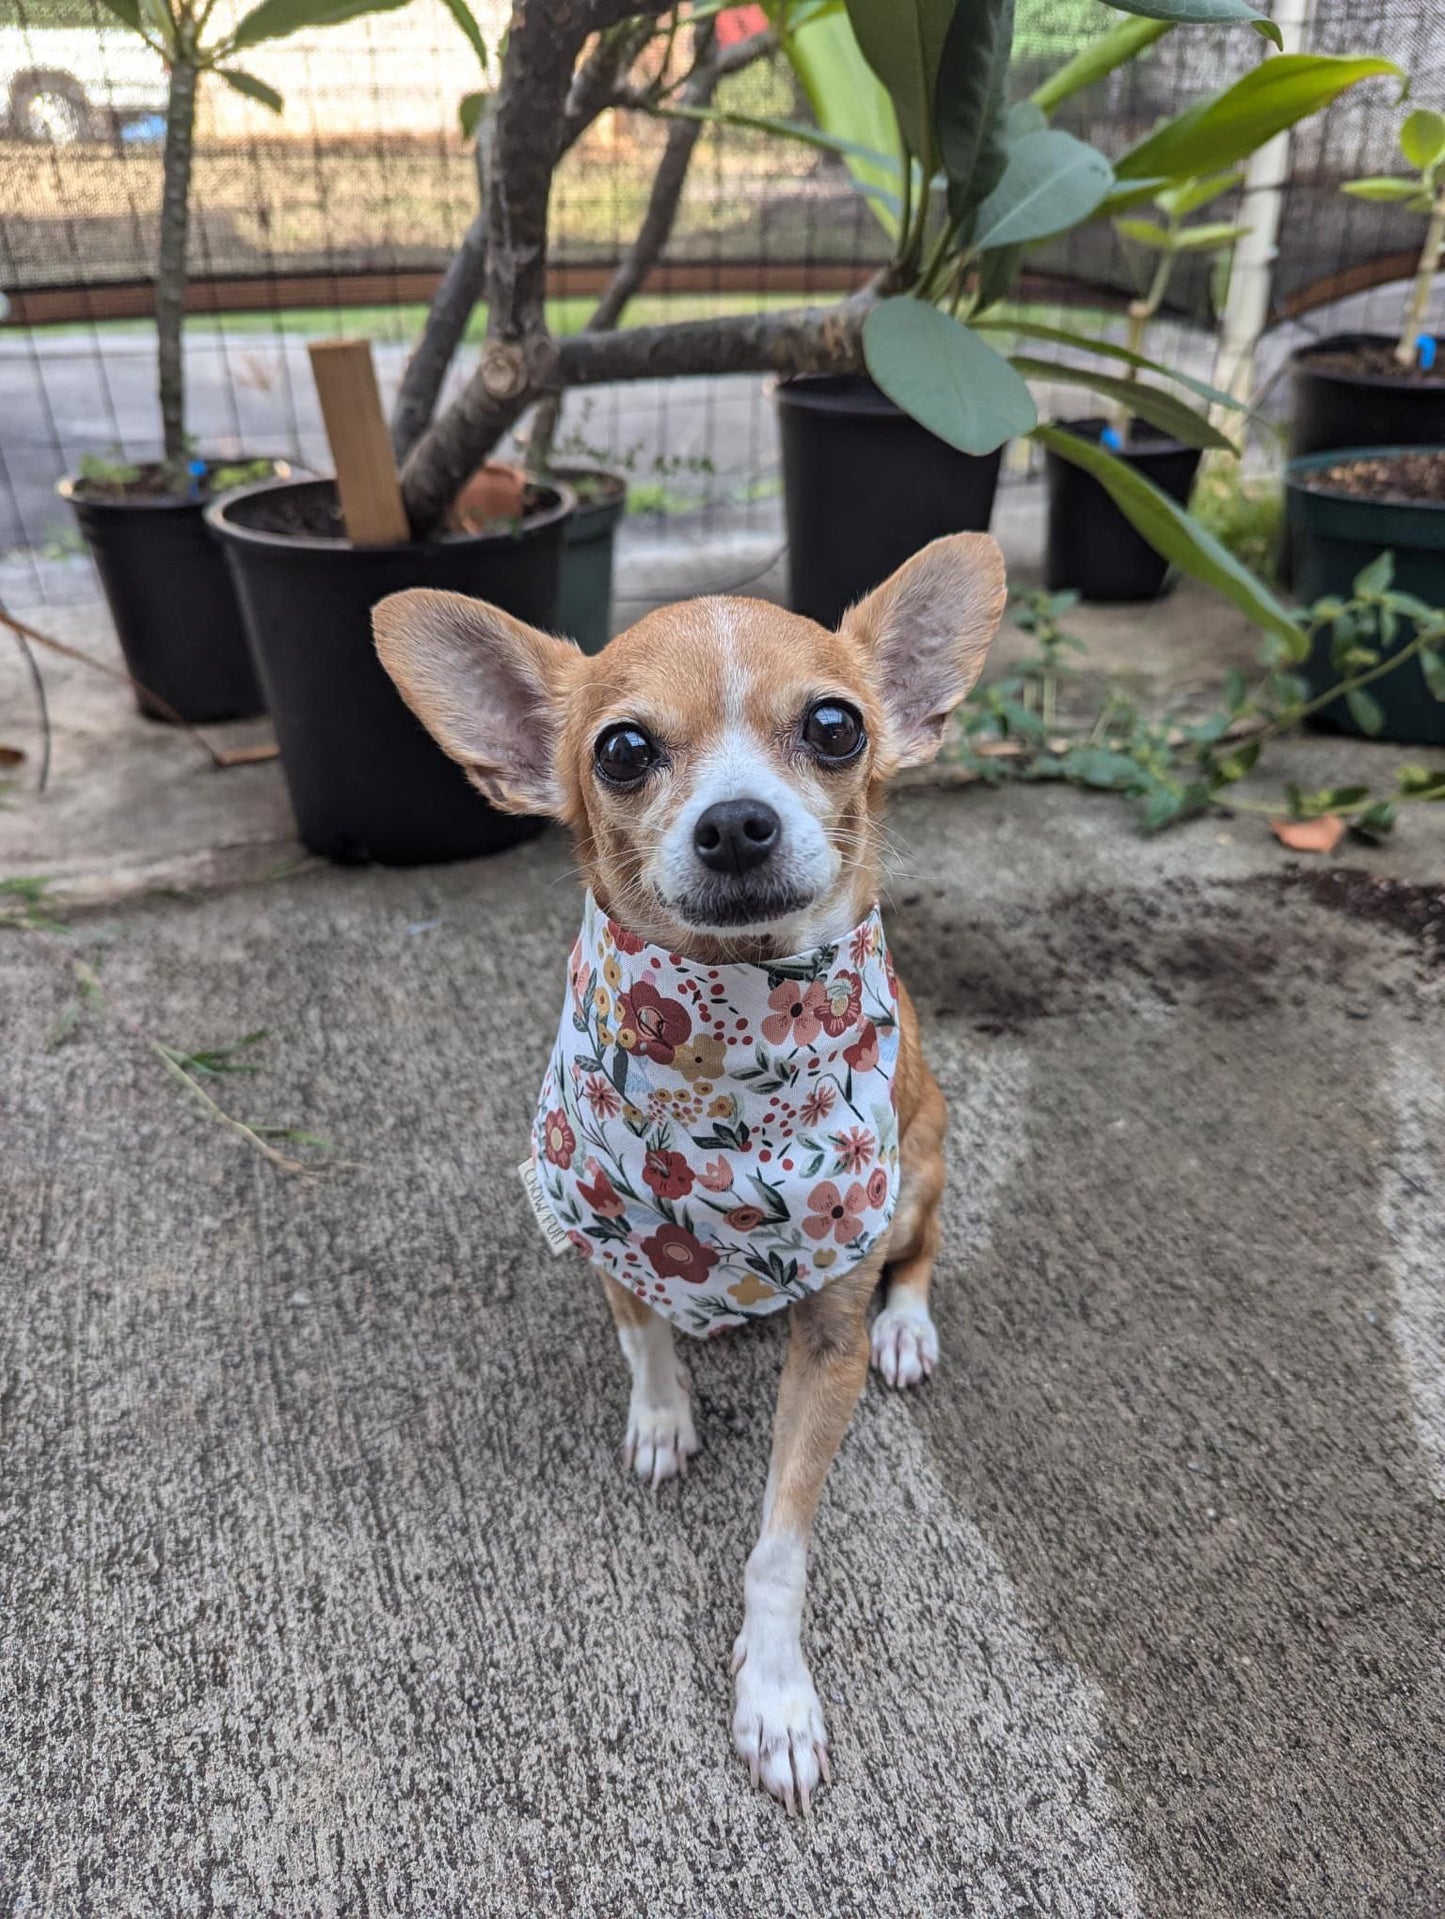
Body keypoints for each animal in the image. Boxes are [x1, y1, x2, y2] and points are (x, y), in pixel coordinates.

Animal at [372, 537, 1005, 1811]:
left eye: (833, 725)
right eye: (621, 748)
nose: (738, 823)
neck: (721, 1047)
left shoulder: (826, 1335)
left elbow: (778, 1542)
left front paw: (774, 1693)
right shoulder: (599, 1223)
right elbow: (640, 1332)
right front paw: (661, 1414)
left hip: (920, 1156)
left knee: (919, 1248)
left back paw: (909, 1326)